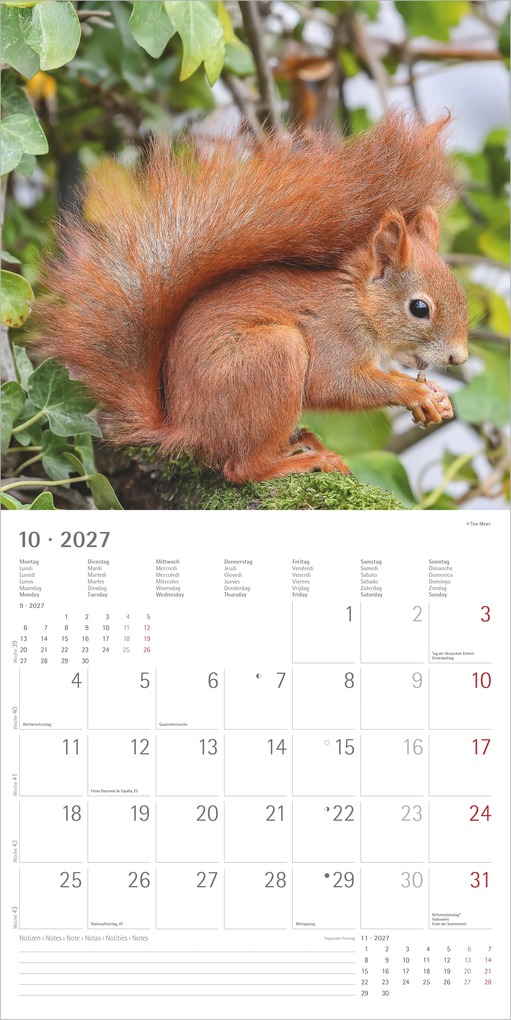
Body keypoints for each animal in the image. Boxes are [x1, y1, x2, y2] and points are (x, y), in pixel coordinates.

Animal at [36, 110, 468, 484]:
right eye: (419, 308)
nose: (458, 359)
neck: (356, 302)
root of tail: (183, 427)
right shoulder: (333, 336)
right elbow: (333, 385)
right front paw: (414, 391)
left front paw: (440, 397)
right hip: (273, 356)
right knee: (241, 468)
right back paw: (300, 461)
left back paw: (298, 442)